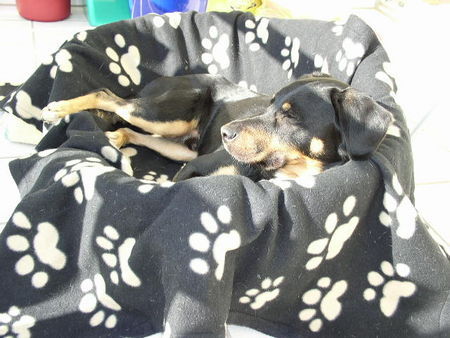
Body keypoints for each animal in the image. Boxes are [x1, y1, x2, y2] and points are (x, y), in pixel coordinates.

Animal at [43, 73, 394, 181]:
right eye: (269, 104)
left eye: (290, 117)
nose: (226, 133)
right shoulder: (195, 167)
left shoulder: (193, 161)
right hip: (166, 114)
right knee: (107, 95)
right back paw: (57, 109)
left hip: (178, 145)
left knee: (131, 131)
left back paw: (113, 139)